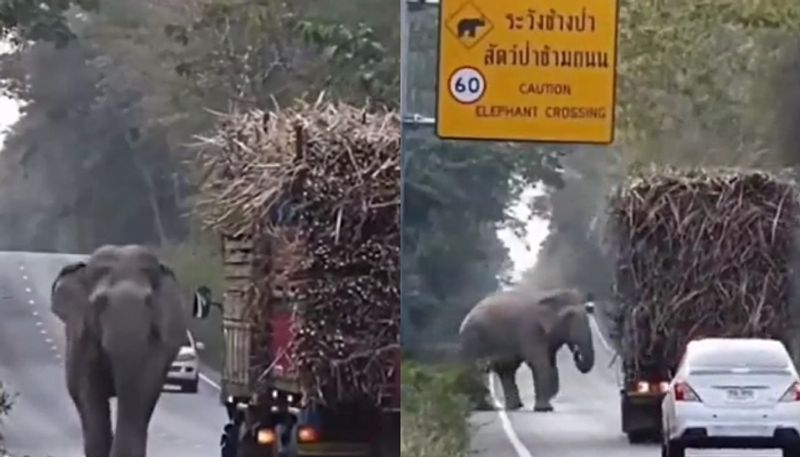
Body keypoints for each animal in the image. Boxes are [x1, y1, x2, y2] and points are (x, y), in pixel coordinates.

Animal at [50, 244, 188, 456]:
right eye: (99, 303)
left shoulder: (156, 343)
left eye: (149, 302)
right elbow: (89, 391)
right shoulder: (83, 337)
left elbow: (141, 390)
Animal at [460, 288, 596, 414]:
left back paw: (513, 406)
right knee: (476, 370)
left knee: (506, 369)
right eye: (569, 316)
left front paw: (549, 400)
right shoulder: (530, 331)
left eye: (588, 312)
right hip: (472, 339)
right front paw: (544, 409)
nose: (576, 353)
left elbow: (551, 363)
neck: (550, 295)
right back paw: (482, 407)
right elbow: (540, 364)